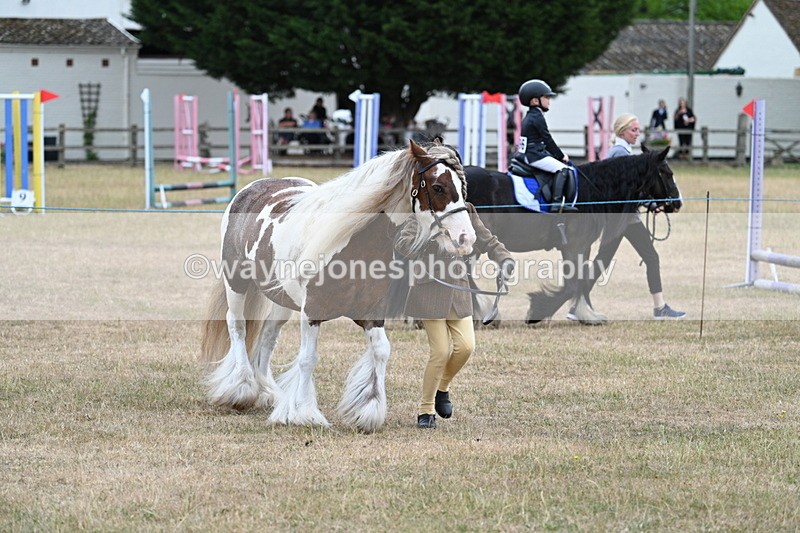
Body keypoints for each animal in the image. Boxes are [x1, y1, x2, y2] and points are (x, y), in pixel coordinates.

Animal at [200, 140, 476, 433]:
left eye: (462, 186)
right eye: (438, 187)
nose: (466, 238)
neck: (354, 243)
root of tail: (250, 189)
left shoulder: (371, 313)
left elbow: (381, 351)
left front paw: (368, 410)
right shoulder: (312, 313)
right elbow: (308, 359)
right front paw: (304, 412)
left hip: (281, 298)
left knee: (268, 335)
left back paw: (266, 392)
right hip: (237, 283)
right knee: (237, 325)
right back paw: (241, 389)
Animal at [465, 145, 681, 325]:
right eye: (667, 173)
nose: (678, 202)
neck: (590, 191)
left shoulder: (581, 246)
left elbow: (582, 279)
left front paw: (587, 314)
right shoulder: (574, 245)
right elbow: (572, 284)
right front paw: (538, 311)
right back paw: (483, 311)